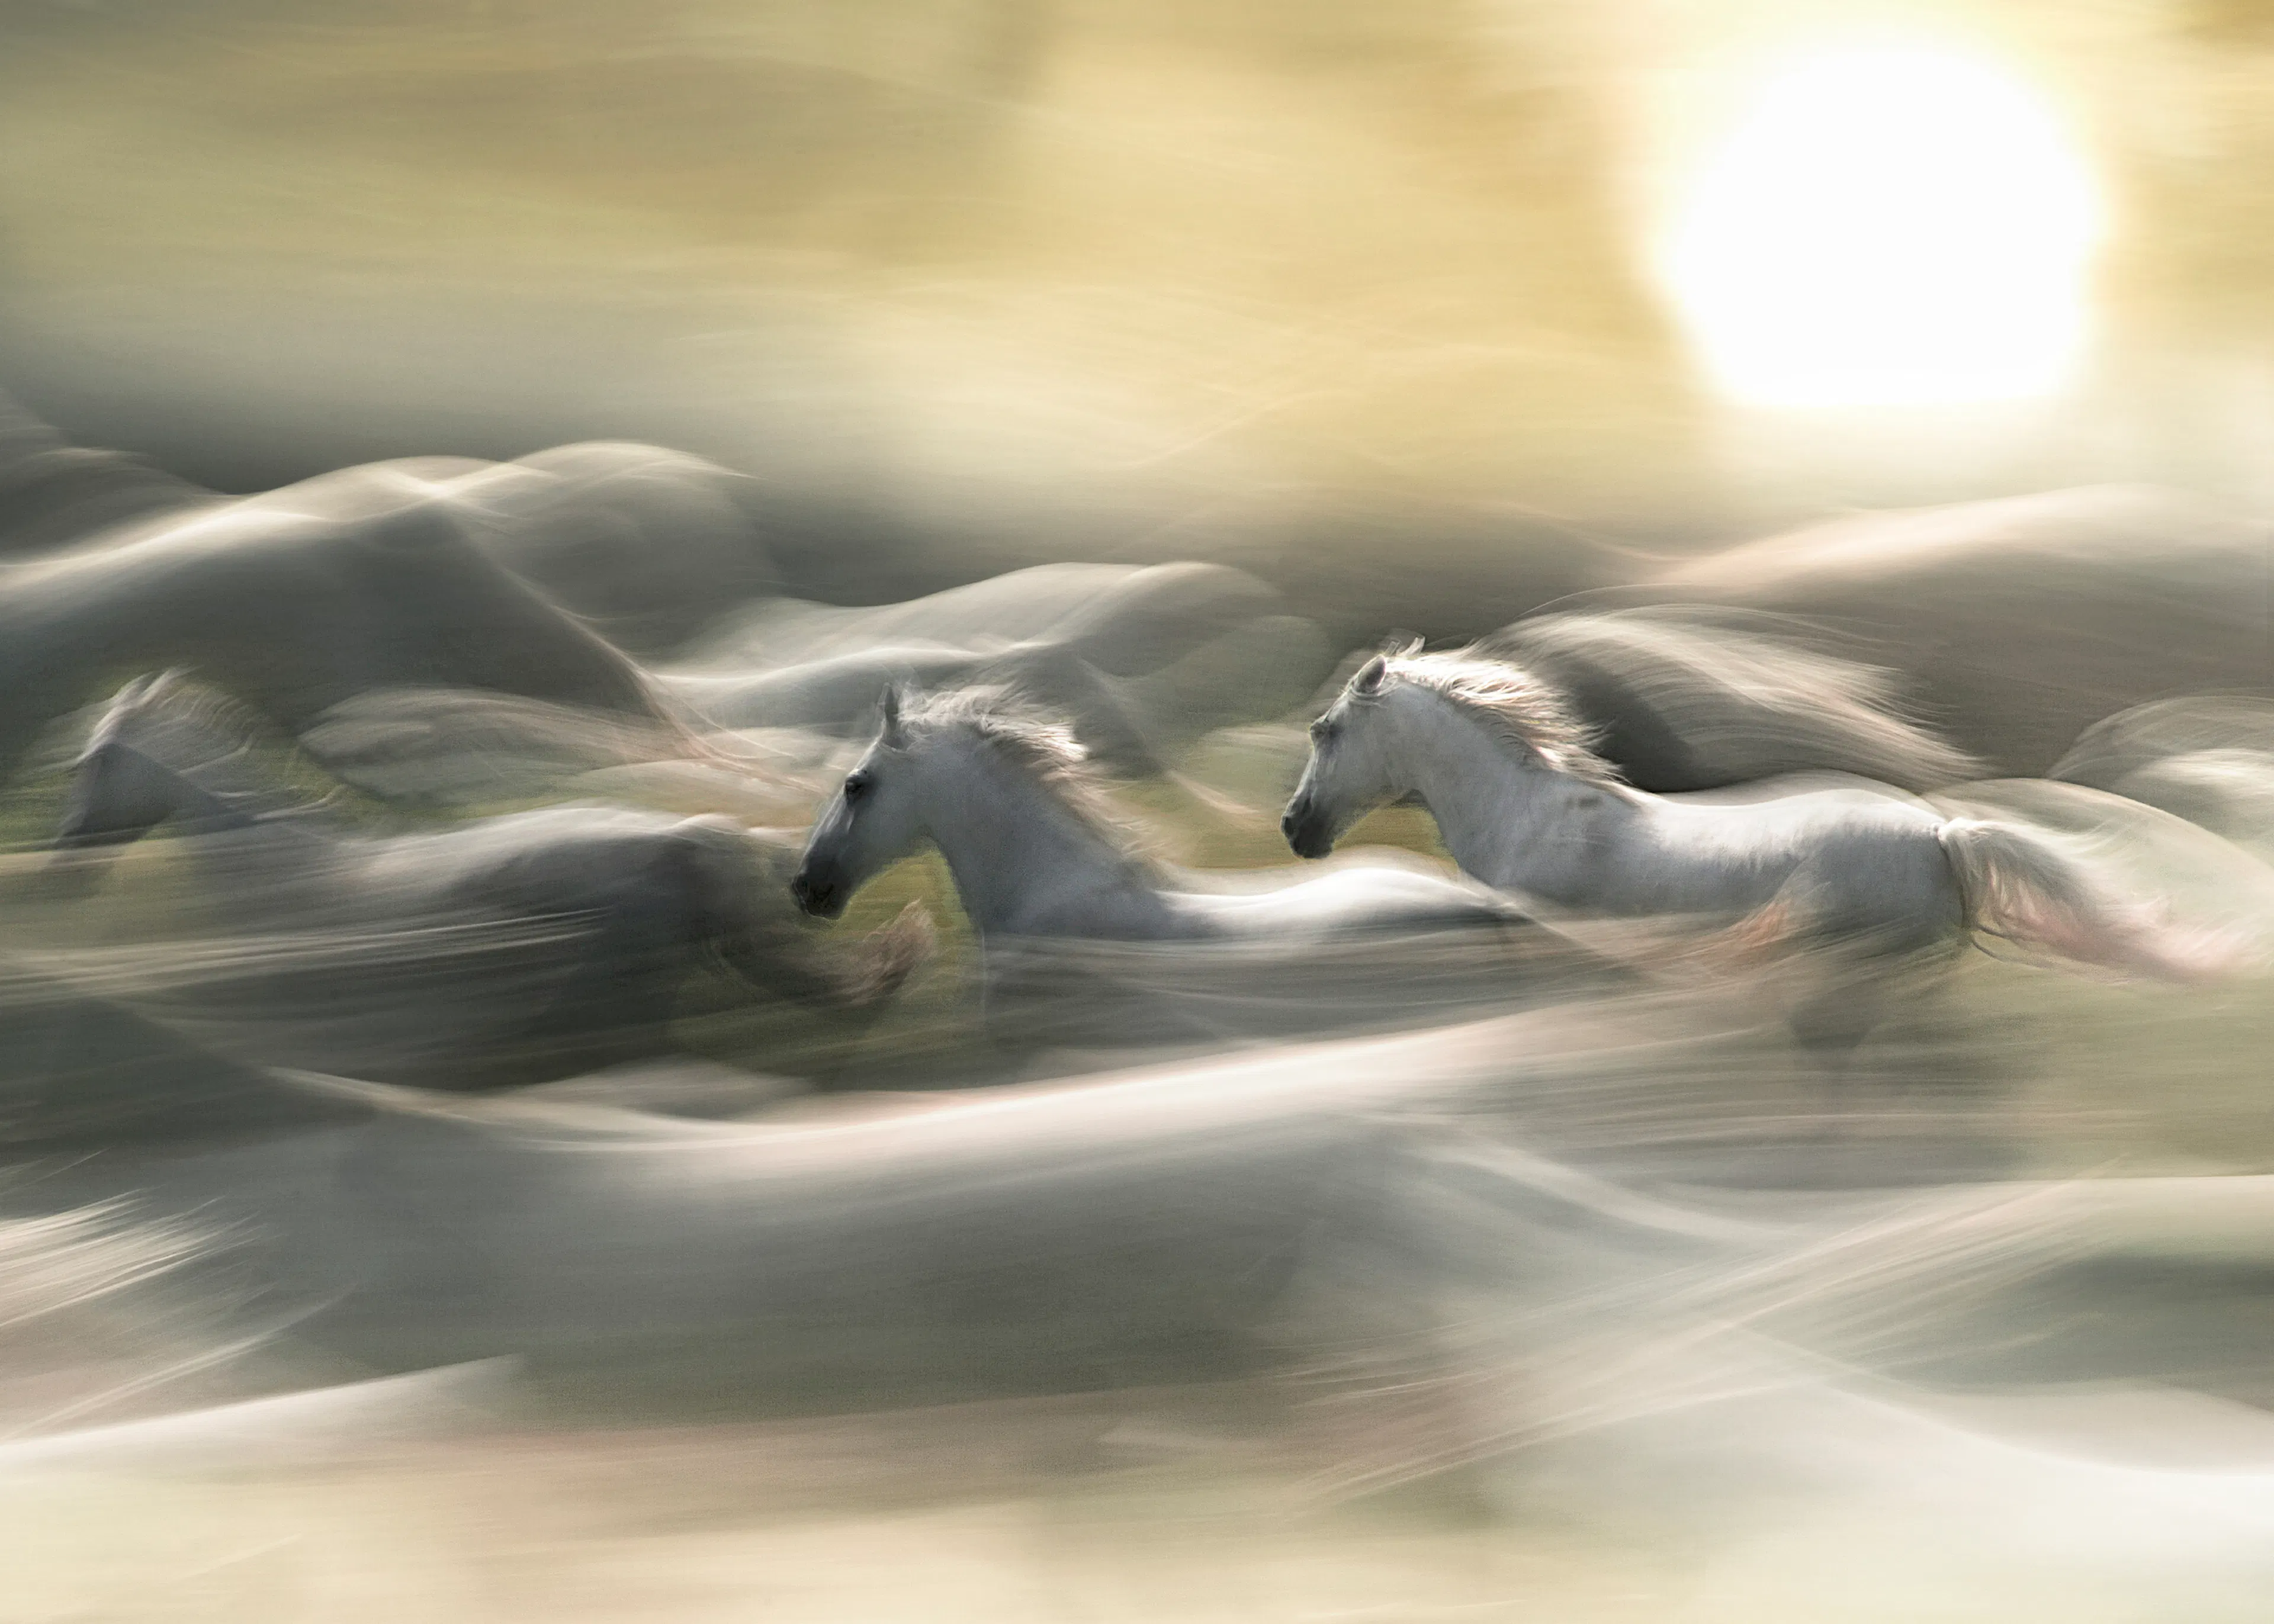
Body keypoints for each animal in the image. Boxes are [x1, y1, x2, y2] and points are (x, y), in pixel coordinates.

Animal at [1280, 644, 2252, 1064]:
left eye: (1327, 731)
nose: (1294, 828)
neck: (1528, 815)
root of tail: (1940, 834)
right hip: (1911, 984)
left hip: (1853, 981)